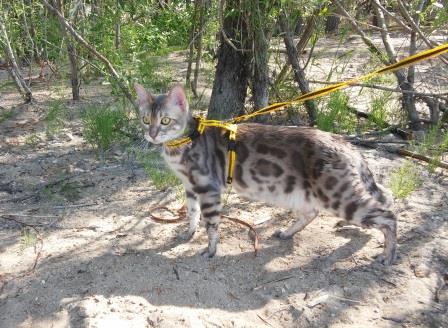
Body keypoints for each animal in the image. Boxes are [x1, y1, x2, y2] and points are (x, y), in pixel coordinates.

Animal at [135, 83, 398, 266]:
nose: (152, 134)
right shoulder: (190, 186)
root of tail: (347, 143)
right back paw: (286, 232)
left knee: (388, 215)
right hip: (298, 193)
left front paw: (210, 250)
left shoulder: (208, 188)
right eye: (146, 119)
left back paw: (388, 254)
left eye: (165, 120)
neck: (182, 144)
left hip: (337, 196)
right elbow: (192, 214)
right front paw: (189, 233)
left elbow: (211, 224)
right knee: (313, 212)